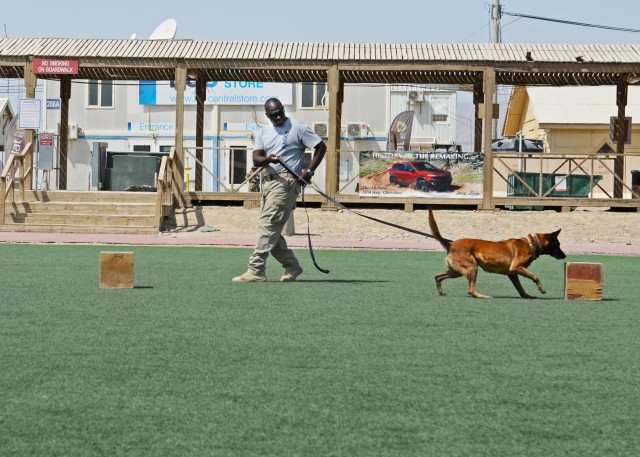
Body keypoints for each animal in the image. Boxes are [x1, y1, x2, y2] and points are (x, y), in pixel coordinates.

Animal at [430, 208, 564, 298]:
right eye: (558, 245)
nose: (564, 256)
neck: (532, 244)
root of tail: (451, 245)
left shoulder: (513, 273)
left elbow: (520, 288)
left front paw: (527, 296)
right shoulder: (516, 267)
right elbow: (535, 276)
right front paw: (541, 289)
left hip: (457, 271)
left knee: (438, 277)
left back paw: (441, 292)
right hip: (472, 268)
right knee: (470, 290)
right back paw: (483, 296)